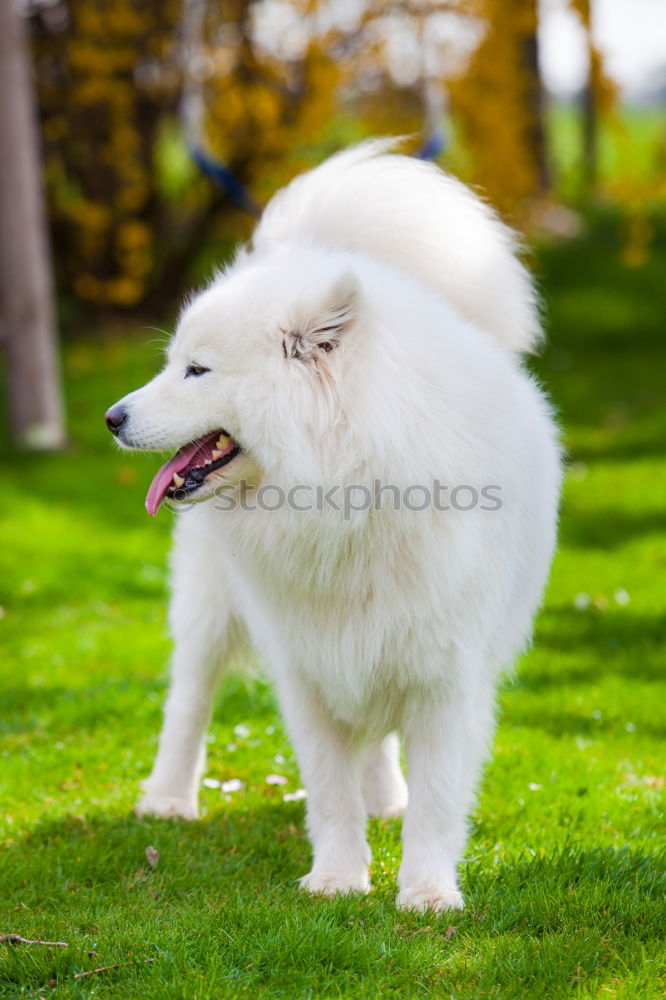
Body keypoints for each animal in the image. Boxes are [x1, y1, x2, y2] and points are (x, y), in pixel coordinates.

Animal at [106, 143, 556, 916]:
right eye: (173, 364)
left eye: (196, 370)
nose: (112, 417)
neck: (348, 492)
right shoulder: (306, 666)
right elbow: (328, 788)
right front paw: (339, 879)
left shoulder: (441, 672)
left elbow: (438, 798)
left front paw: (426, 891)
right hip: (212, 608)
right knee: (190, 697)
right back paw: (167, 799)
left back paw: (387, 799)